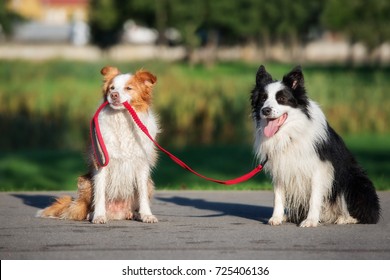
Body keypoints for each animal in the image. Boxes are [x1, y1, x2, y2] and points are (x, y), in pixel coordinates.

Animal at [36, 66, 158, 224]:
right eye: (112, 88)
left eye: (128, 88)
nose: (113, 95)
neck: (122, 119)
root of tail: (117, 213)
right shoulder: (101, 163)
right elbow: (99, 194)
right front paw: (99, 216)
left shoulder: (142, 164)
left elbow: (142, 194)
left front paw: (146, 215)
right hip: (85, 182)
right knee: (85, 208)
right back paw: (93, 214)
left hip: (150, 183)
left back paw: (135, 214)